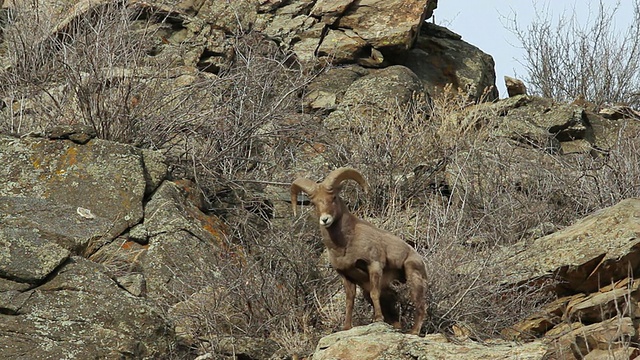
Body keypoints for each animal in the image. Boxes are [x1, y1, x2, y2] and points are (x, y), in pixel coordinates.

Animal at [292, 168, 428, 334]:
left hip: (412, 276)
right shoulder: (346, 276)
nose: (325, 220)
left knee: (420, 306)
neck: (345, 244)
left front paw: (377, 319)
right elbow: (349, 301)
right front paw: (346, 327)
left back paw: (413, 331)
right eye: (313, 203)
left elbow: (375, 293)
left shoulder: (374, 266)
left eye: (334, 197)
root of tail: (418, 258)